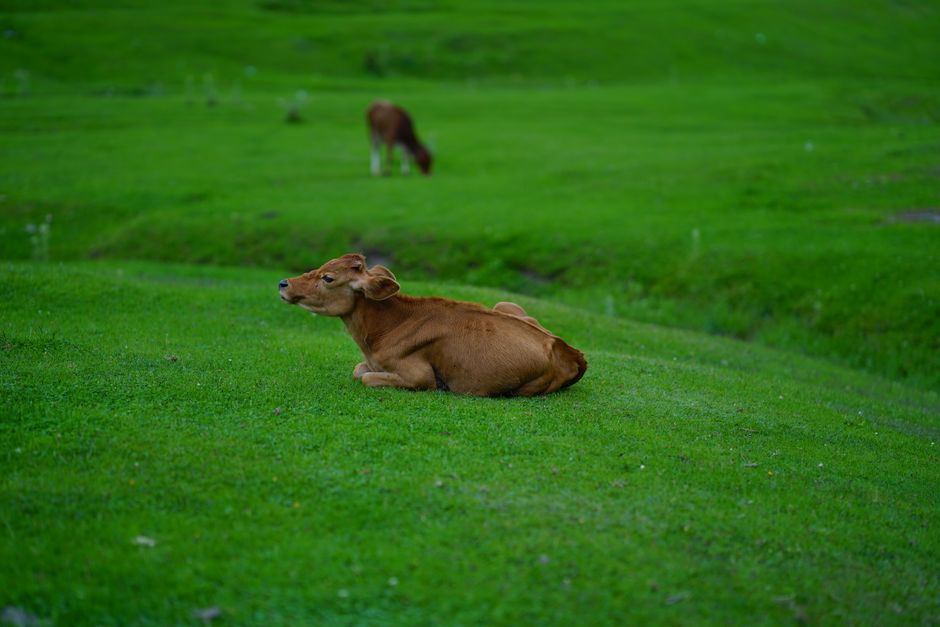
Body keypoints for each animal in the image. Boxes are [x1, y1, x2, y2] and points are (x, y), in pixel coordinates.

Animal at [279, 254, 587, 396]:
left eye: (328, 277)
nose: (284, 283)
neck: (379, 334)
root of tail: (571, 351)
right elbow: (358, 370)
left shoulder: (419, 376)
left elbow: (365, 377)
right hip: (506, 304)